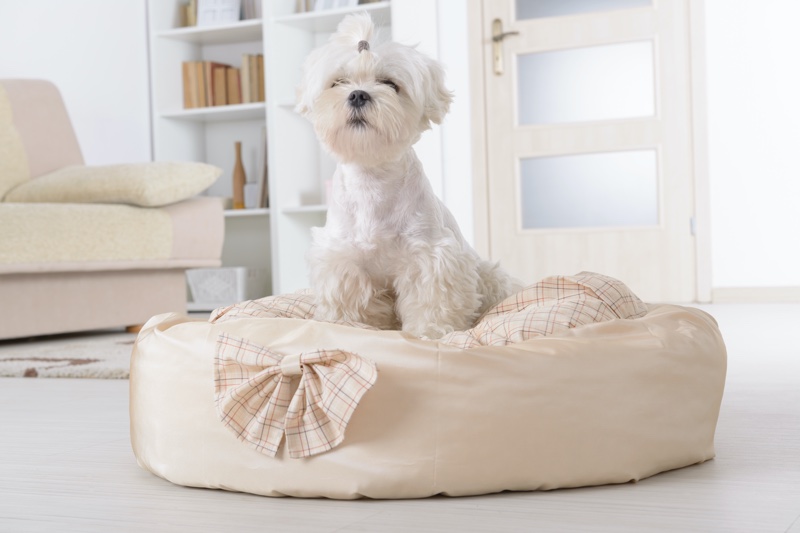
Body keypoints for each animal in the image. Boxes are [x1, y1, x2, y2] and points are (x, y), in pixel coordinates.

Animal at [296, 14, 520, 338]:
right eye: (338, 82)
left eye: (390, 84)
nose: (358, 94)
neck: (372, 178)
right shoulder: (344, 260)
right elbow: (354, 304)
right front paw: (351, 325)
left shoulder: (429, 255)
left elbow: (433, 300)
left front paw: (431, 332)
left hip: (489, 274)